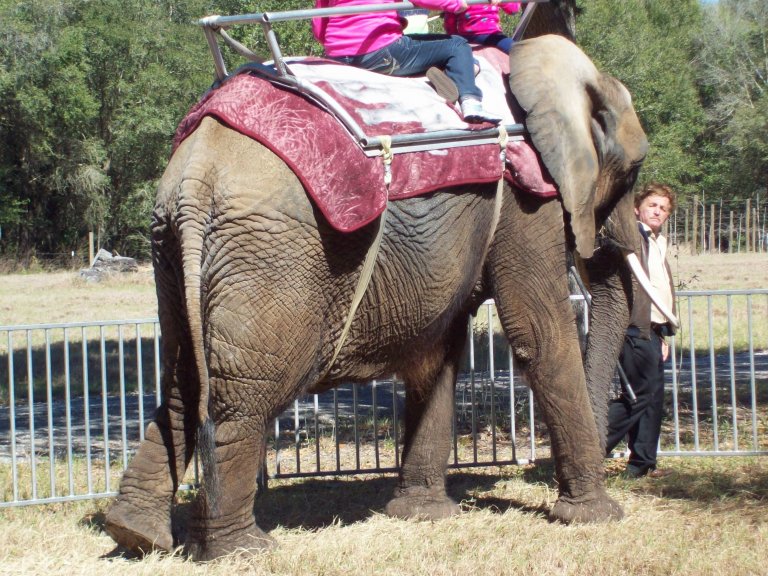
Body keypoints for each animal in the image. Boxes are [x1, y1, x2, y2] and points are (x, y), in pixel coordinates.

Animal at [103, 34, 651, 561]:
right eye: (632, 172)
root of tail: (199, 171)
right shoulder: (527, 194)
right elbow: (538, 331)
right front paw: (596, 518)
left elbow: (438, 353)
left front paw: (421, 515)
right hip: (272, 256)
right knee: (241, 395)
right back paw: (241, 550)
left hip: (175, 245)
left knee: (184, 380)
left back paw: (135, 534)